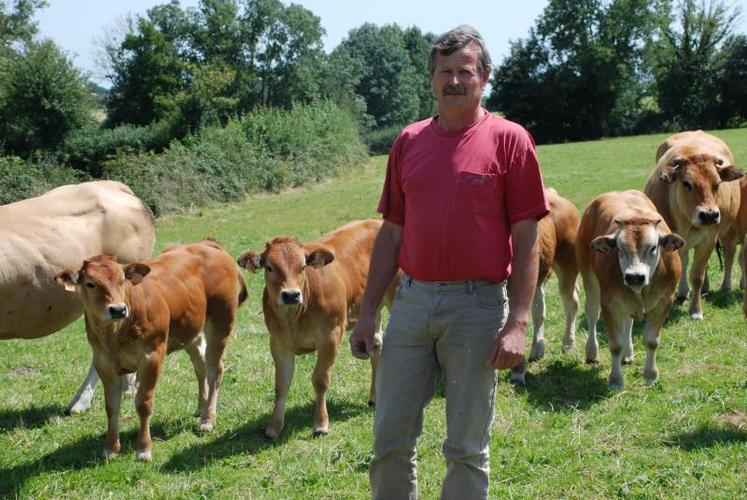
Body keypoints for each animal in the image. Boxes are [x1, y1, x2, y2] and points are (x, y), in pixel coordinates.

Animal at [56, 241, 248, 460]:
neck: (116, 335)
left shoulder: (152, 358)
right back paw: (202, 407)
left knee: (215, 370)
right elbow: (111, 405)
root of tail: (208, 244)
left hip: (221, 323)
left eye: (122, 280)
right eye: (90, 283)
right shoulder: (103, 363)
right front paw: (110, 448)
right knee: (201, 366)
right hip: (190, 331)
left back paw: (208, 419)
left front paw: (143, 449)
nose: (118, 309)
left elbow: (144, 403)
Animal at [240, 221, 400, 440]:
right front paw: (273, 427)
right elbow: (281, 384)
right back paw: (374, 397)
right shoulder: (278, 343)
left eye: (303, 267)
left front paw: (320, 424)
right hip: (370, 309)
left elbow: (320, 380)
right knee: (375, 345)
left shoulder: (330, 337)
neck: (295, 317)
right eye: (270, 267)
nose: (291, 295)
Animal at [580, 191, 684, 390]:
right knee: (592, 315)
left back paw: (628, 354)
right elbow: (615, 345)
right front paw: (615, 380)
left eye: (653, 247)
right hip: (589, 279)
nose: (634, 276)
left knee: (628, 324)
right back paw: (592, 352)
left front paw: (651, 375)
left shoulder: (665, 300)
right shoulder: (609, 302)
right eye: (620, 248)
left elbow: (651, 341)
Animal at [644, 129, 744, 318]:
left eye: (717, 183)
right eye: (686, 183)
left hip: (728, 233)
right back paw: (684, 292)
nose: (709, 215)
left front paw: (696, 310)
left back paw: (722, 286)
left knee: (728, 257)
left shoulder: (708, 239)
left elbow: (697, 275)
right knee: (685, 261)